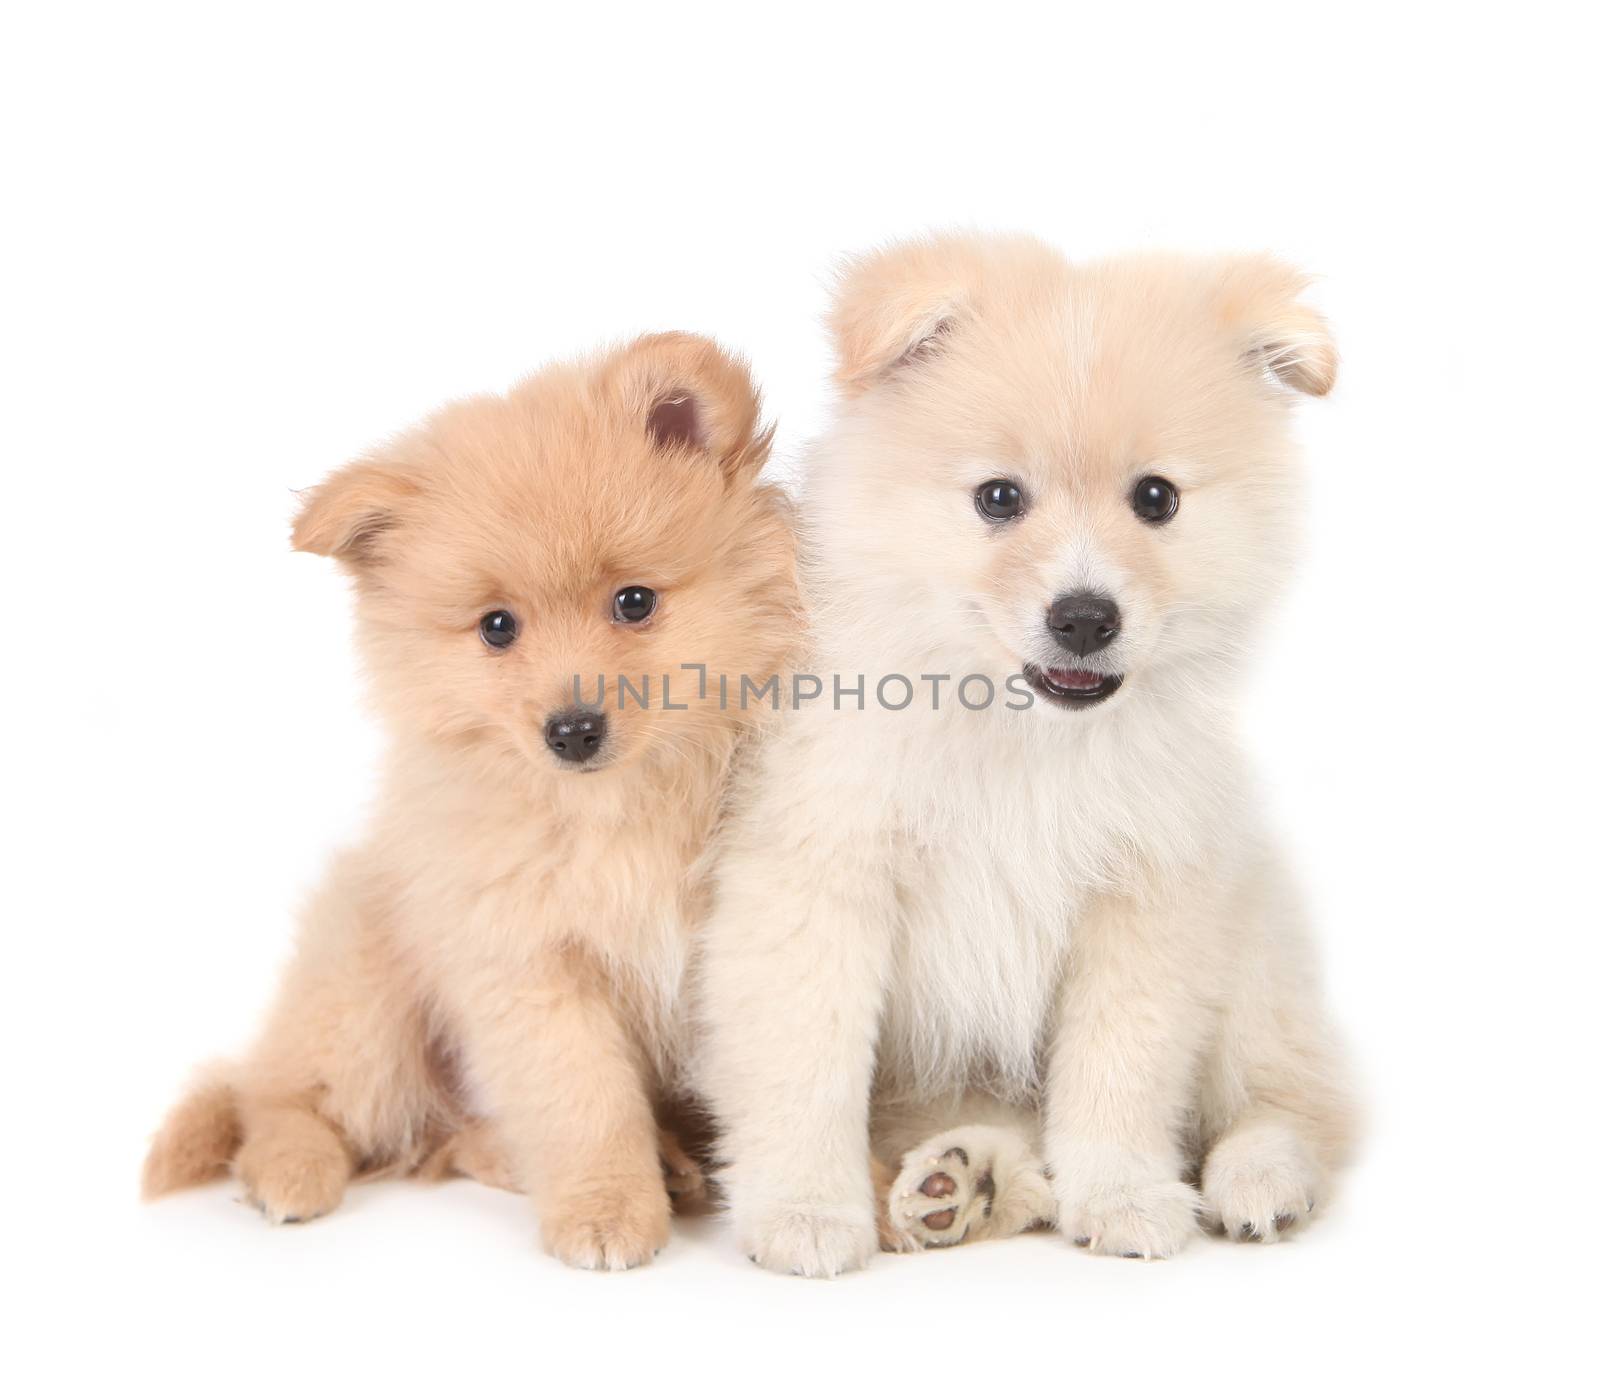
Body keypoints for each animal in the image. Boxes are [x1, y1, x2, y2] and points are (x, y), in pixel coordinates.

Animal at [144, 331, 800, 1266]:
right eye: (497, 628)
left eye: (634, 602)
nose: (572, 729)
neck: (618, 811)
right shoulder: (528, 964)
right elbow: (584, 1103)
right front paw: (607, 1209)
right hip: (367, 998)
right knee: (281, 1097)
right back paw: (290, 1171)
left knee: (445, 1136)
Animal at [694, 236, 1356, 1279]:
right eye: (998, 499)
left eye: (1156, 499)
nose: (1084, 617)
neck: (1018, 734)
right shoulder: (817, 881)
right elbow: (807, 1065)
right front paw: (805, 1209)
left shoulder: (1148, 896)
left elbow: (1119, 1072)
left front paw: (1123, 1193)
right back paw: (958, 1184)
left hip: (1254, 944)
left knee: (1293, 1102)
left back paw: (1258, 1179)